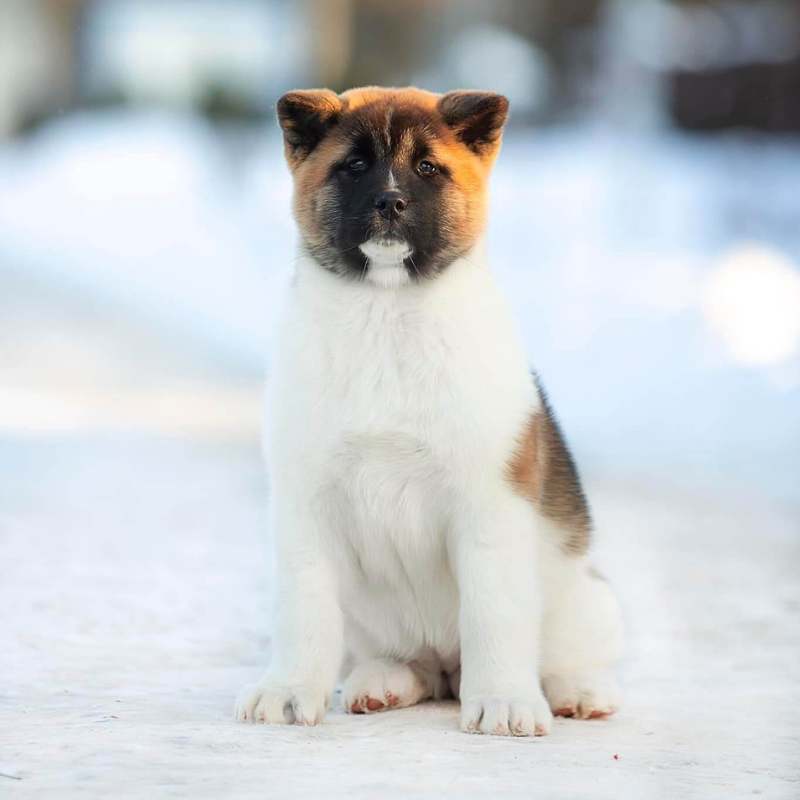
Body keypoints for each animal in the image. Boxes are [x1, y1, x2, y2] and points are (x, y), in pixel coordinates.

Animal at [234, 87, 620, 736]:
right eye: (355, 165)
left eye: (428, 168)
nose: (390, 202)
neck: (387, 316)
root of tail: (446, 668)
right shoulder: (305, 504)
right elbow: (304, 609)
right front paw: (287, 691)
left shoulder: (488, 505)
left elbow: (493, 612)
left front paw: (503, 702)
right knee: (405, 663)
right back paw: (382, 683)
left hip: (583, 590)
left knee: (561, 655)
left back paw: (578, 692)